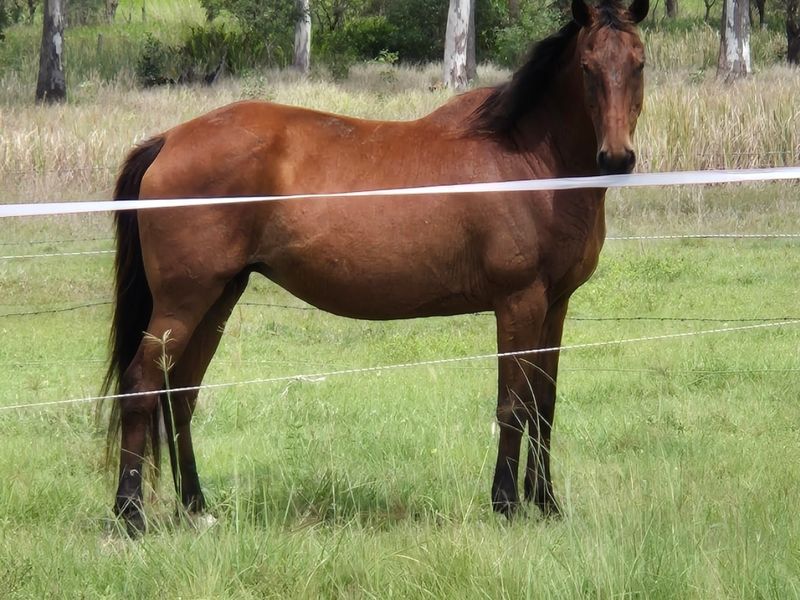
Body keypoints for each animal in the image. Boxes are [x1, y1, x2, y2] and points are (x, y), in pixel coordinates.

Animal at [103, 0, 648, 535]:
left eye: (639, 63)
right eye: (587, 67)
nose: (616, 158)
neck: (528, 163)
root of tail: (169, 139)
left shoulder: (555, 305)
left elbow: (543, 403)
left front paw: (547, 504)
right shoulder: (519, 302)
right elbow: (513, 405)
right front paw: (507, 505)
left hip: (218, 297)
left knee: (181, 394)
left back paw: (196, 508)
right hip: (182, 302)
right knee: (141, 386)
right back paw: (130, 515)